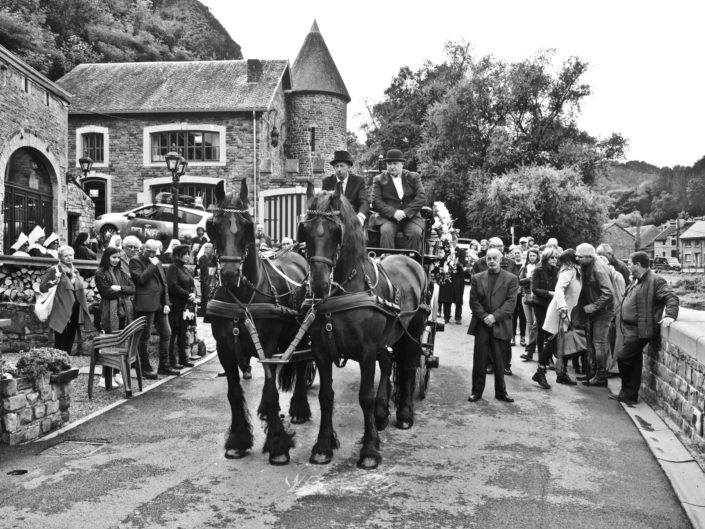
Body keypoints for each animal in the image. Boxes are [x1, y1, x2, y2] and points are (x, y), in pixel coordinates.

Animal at [206, 179, 310, 464]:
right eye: (214, 225)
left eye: (248, 226)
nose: (230, 274)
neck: (243, 298)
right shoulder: (224, 348)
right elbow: (233, 393)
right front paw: (237, 441)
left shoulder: (270, 346)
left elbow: (272, 390)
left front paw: (278, 444)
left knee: (302, 366)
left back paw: (299, 408)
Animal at [296, 185, 428, 466]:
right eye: (305, 229)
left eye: (336, 231)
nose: (319, 284)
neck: (345, 288)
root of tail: (410, 260)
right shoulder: (321, 350)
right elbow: (326, 396)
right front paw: (323, 445)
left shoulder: (366, 351)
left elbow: (364, 397)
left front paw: (369, 450)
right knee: (389, 362)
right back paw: (382, 413)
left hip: (413, 330)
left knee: (409, 366)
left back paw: (404, 414)